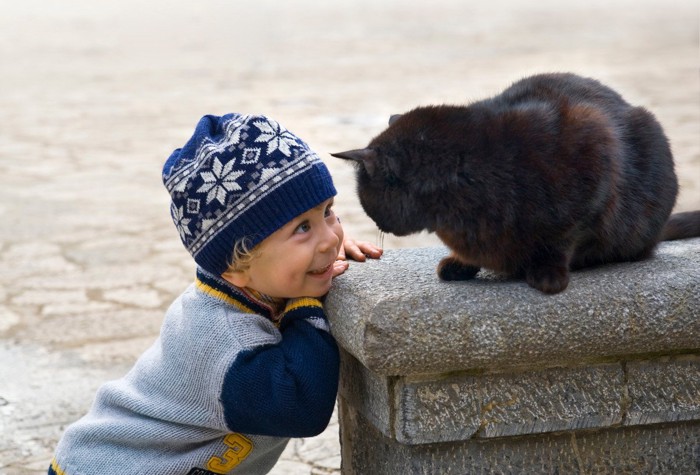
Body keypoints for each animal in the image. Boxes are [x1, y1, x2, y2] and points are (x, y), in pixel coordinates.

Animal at [334, 72, 700, 294]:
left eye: (368, 204)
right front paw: (461, 262)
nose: (379, 225)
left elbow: (563, 239)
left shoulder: (594, 152)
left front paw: (548, 274)